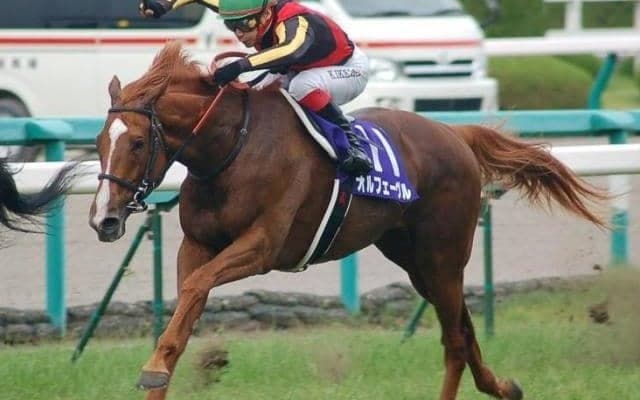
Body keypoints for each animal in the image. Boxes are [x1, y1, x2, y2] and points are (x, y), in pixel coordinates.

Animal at [89, 41, 607, 400]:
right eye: (98, 141)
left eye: (138, 141)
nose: (104, 219)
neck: (230, 148)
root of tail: (453, 134)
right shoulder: (196, 243)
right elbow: (183, 313)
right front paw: (159, 366)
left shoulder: (262, 246)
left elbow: (197, 288)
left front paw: (153, 367)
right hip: (416, 261)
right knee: (463, 328)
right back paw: (503, 387)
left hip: (443, 256)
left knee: (455, 341)